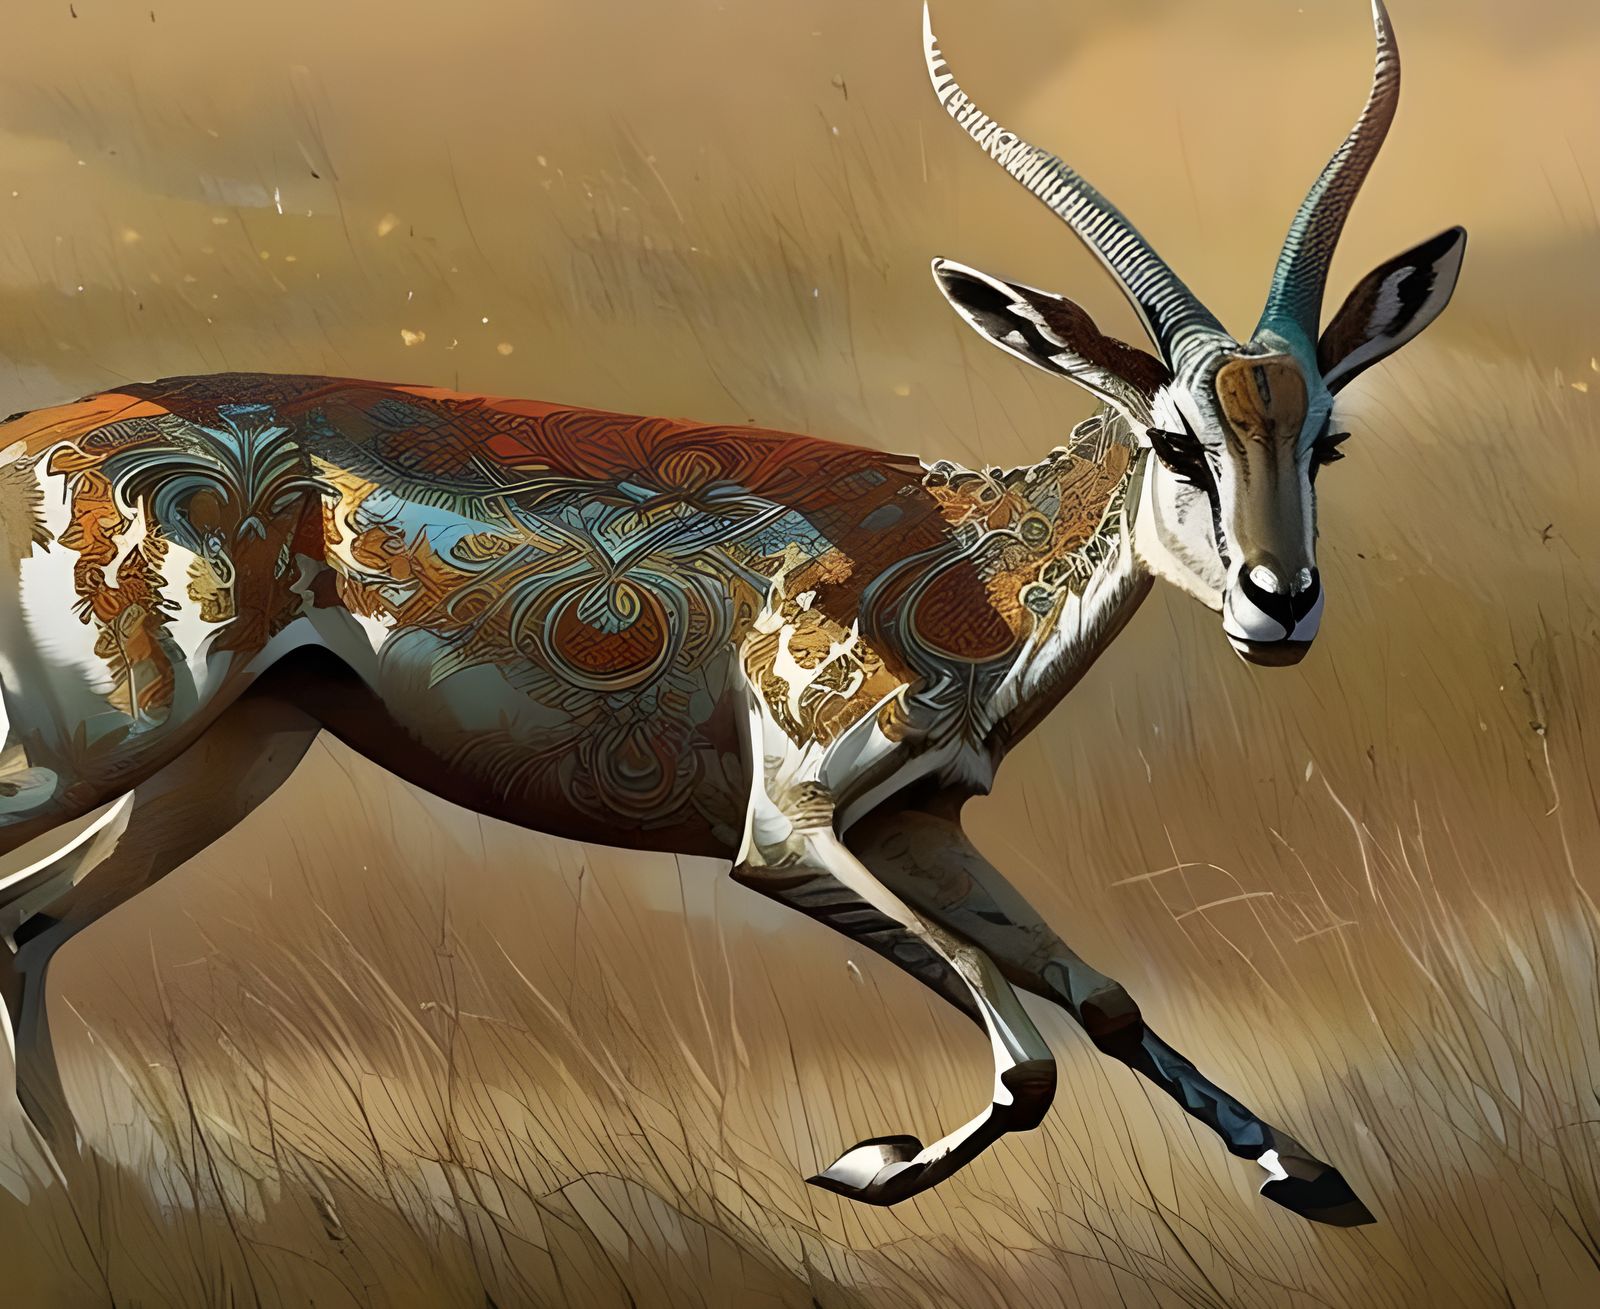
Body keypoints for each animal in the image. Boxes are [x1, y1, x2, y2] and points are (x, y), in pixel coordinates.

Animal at [0, 1, 1460, 1226]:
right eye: (1175, 441)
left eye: (1322, 439)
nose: (1282, 606)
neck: (967, 563)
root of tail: (30, 432)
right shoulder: (785, 833)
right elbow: (1022, 1052)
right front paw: (865, 1163)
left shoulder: (921, 827)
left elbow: (1093, 996)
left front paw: (1315, 1177)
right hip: (94, 740)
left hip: (232, 755)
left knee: (27, 920)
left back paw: (90, 1185)